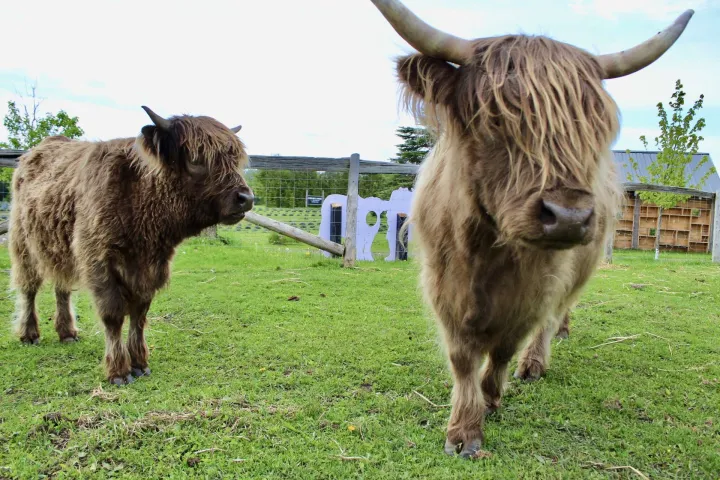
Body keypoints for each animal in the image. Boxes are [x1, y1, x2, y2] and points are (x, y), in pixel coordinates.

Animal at [8, 107, 254, 385]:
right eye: (196, 158)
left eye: (234, 158)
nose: (246, 198)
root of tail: (33, 152)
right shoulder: (100, 263)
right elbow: (113, 315)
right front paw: (118, 371)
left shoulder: (150, 267)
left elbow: (139, 314)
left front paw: (139, 364)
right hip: (23, 244)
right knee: (28, 288)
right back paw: (29, 334)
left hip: (61, 249)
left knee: (62, 287)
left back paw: (67, 332)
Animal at [369, 0, 693, 458]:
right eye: (495, 117)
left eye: (592, 127)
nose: (569, 217)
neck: (487, 248)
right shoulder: (443, 283)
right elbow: (462, 356)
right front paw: (462, 430)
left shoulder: (535, 288)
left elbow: (505, 347)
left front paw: (490, 399)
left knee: (553, 318)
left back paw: (537, 361)